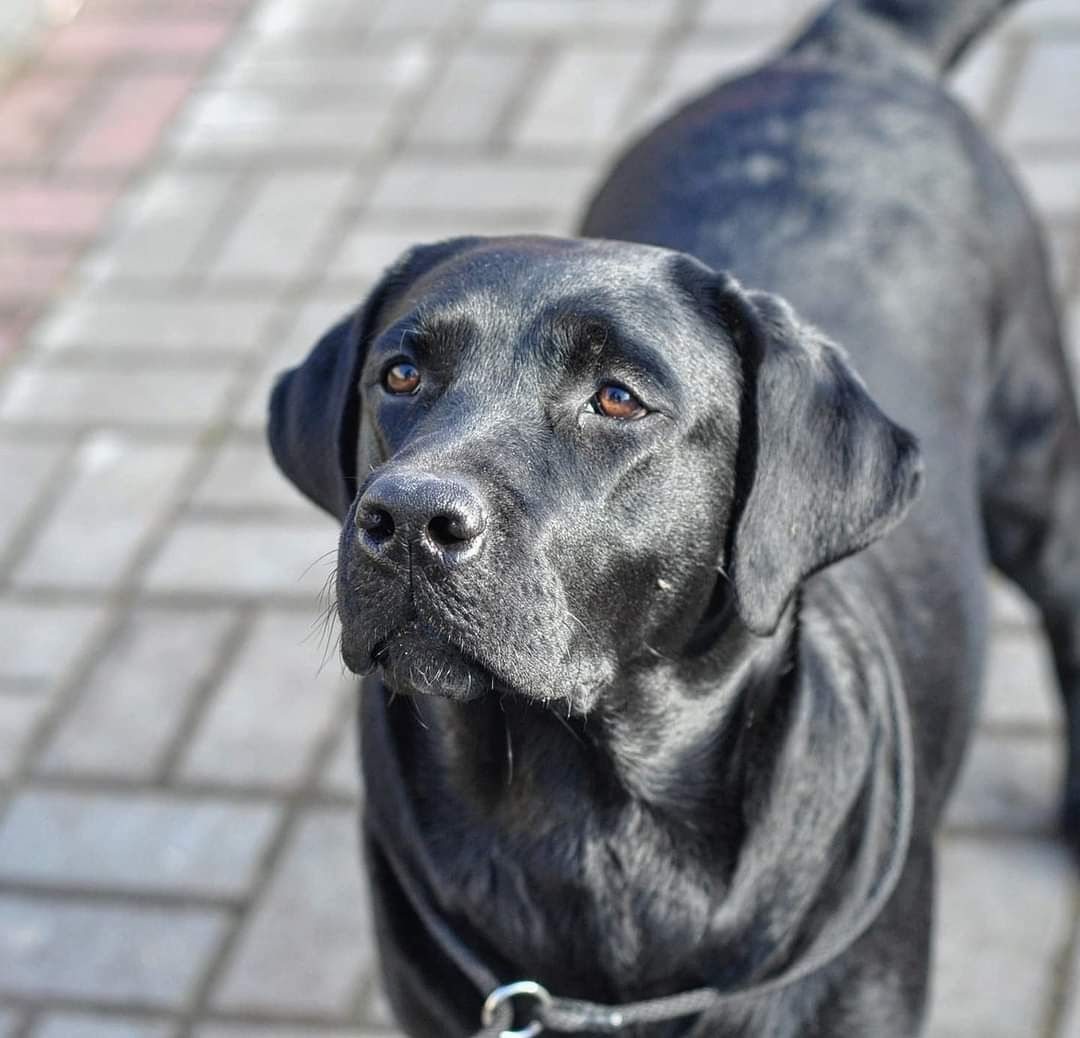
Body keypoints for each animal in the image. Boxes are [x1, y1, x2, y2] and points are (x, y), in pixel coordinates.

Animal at [267, 2, 1080, 1036]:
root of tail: (852, 52)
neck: (583, 818)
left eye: (618, 398)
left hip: (1037, 477)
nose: (407, 517)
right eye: (400, 375)